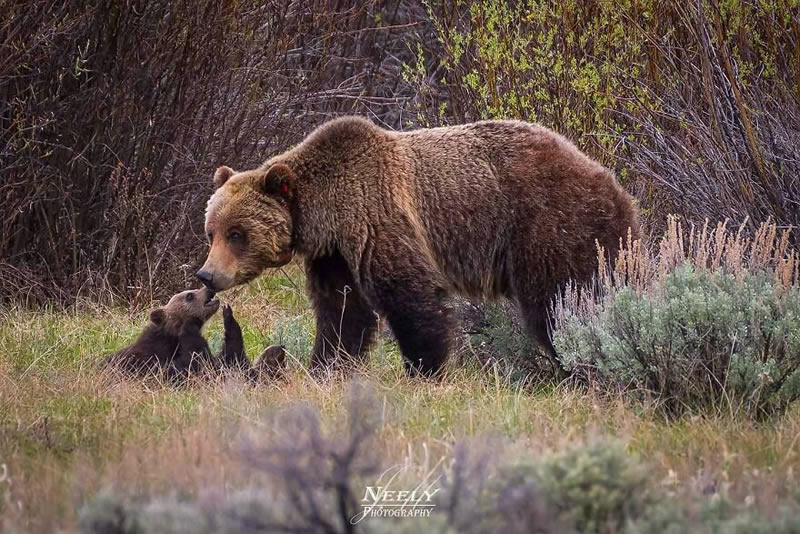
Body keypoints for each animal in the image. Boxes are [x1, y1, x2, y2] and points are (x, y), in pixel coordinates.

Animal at [197, 117, 640, 376]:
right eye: (211, 231)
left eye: (237, 233)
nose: (207, 275)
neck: (327, 212)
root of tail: (611, 180)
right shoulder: (335, 254)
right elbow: (343, 311)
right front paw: (327, 365)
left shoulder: (378, 218)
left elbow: (409, 296)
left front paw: (425, 367)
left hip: (551, 225)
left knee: (563, 298)